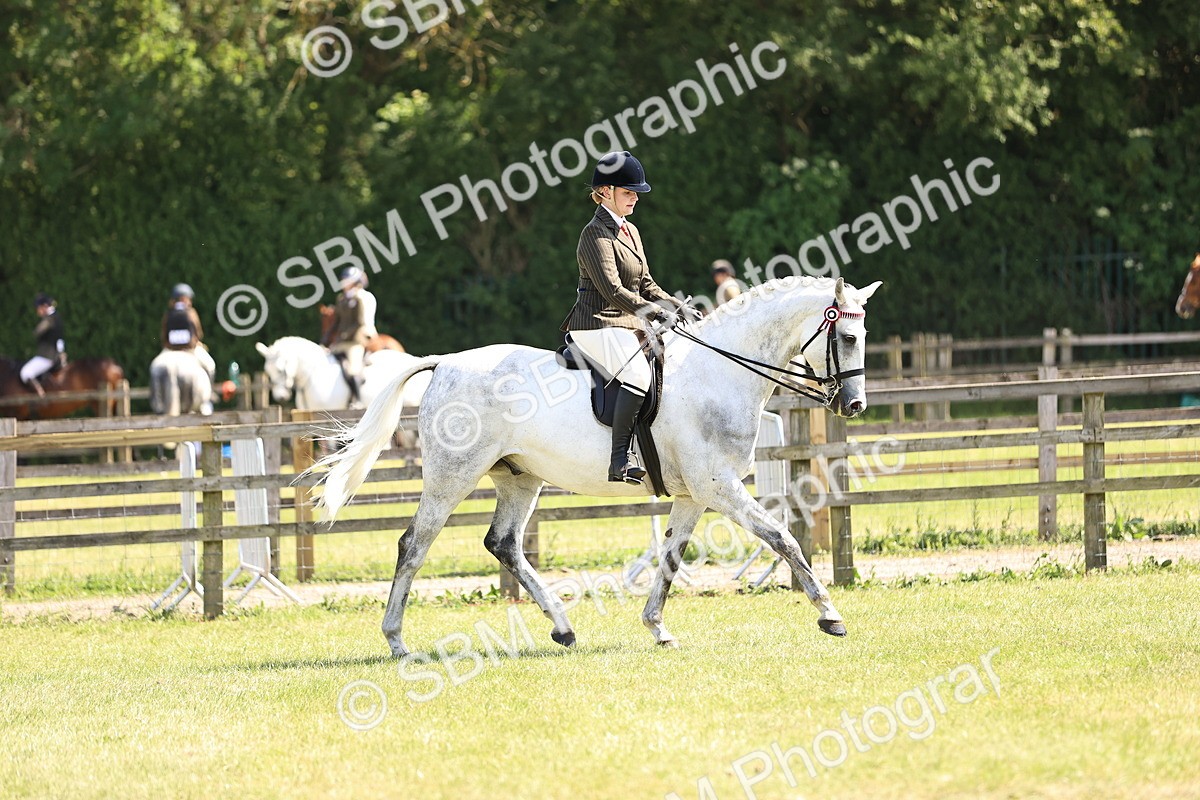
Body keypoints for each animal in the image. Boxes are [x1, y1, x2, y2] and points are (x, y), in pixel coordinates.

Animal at [314, 276, 882, 657]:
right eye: (848, 338)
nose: (853, 405)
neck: (719, 372)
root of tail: (445, 362)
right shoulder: (718, 487)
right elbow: (783, 539)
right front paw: (831, 616)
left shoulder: (693, 495)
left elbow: (670, 559)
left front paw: (657, 627)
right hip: (451, 477)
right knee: (414, 545)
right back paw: (396, 642)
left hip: (519, 478)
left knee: (503, 544)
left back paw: (563, 628)